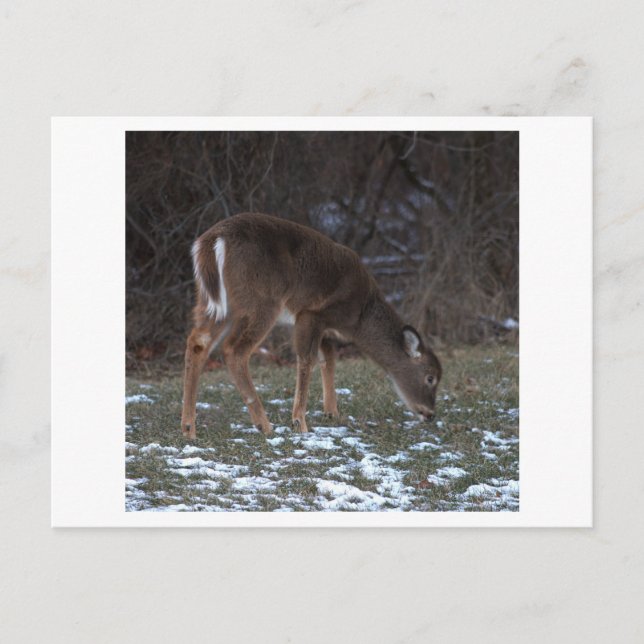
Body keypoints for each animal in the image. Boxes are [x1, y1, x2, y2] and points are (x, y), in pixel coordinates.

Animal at [181, 213, 442, 439]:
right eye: (430, 378)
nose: (430, 413)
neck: (360, 315)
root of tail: (213, 240)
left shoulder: (326, 329)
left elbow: (329, 360)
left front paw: (332, 412)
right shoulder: (311, 313)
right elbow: (307, 359)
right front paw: (300, 423)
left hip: (213, 304)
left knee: (198, 342)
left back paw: (189, 427)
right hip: (261, 301)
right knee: (233, 350)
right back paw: (264, 425)